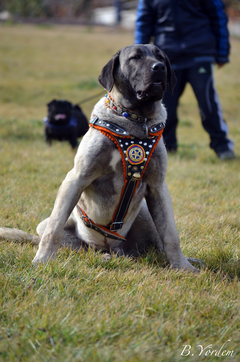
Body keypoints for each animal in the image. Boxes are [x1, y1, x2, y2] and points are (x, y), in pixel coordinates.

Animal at [29, 44, 195, 272]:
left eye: (161, 57)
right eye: (136, 57)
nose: (159, 67)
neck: (135, 120)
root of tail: (111, 247)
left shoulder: (158, 186)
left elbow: (170, 234)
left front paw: (183, 266)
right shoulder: (76, 178)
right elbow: (54, 229)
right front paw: (43, 259)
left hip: (145, 214)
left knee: (154, 245)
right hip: (53, 227)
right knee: (77, 244)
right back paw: (103, 257)